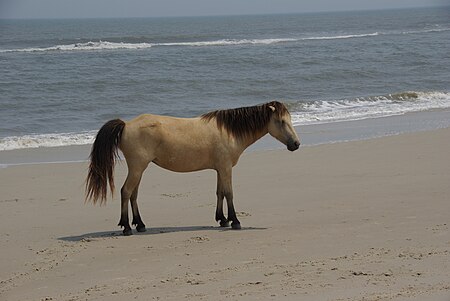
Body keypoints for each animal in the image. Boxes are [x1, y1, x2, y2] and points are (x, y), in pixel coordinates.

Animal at [86, 101, 300, 234]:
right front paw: (235, 221)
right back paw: (127, 228)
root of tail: (126, 124)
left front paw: (222, 219)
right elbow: (229, 193)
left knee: (133, 195)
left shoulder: (220, 169)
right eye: (281, 121)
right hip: (137, 168)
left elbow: (219, 193)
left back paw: (140, 225)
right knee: (126, 192)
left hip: (139, 170)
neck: (229, 131)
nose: (296, 144)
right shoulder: (226, 168)